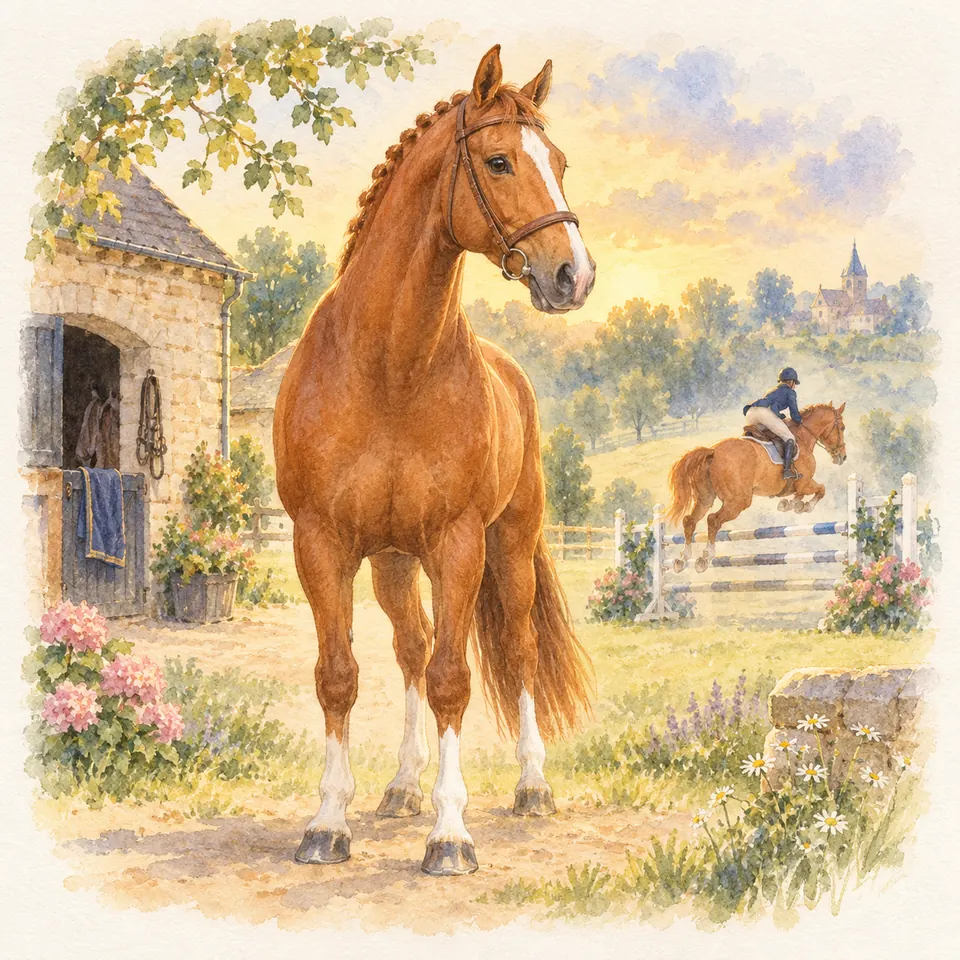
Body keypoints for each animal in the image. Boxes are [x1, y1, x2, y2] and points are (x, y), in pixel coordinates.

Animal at [273, 46, 596, 877]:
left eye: (562, 163)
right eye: (499, 160)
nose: (572, 277)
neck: (389, 366)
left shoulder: (457, 543)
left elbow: (457, 678)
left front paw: (451, 836)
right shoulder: (321, 542)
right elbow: (339, 677)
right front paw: (328, 822)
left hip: (508, 544)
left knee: (514, 649)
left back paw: (531, 785)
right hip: (392, 560)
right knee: (411, 649)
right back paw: (402, 786)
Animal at [665, 403, 847, 572]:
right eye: (842, 428)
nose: (842, 457)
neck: (803, 436)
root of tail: (712, 451)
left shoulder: (798, 486)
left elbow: (799, 495)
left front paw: (791, 505)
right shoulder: (805, 482)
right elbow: (821, 489)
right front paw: (805, 507)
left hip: (705, 498)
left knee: (690, 521)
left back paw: (682, 559)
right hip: (739, 501)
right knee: (713, 520)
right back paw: (706, 556)